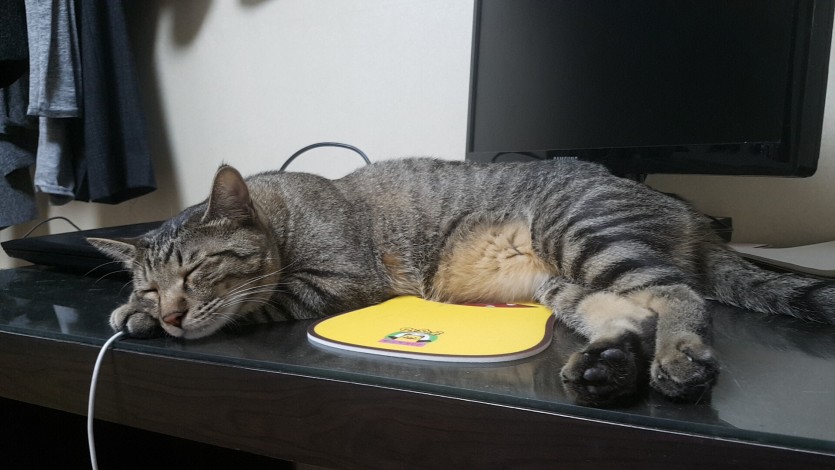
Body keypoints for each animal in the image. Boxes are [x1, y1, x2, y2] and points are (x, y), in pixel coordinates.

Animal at [88, 158, 835, 407]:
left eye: (195, 270)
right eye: (152, 283)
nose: (167, 311)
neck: (283, 214)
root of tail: (687, 211)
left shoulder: (339, 281)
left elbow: (257, 300)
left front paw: (136, 318)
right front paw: (131, 311)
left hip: (581, 232)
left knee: (679, 295)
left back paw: (680, 361)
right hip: (566, 281)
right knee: (632, 312)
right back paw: (610, 368)